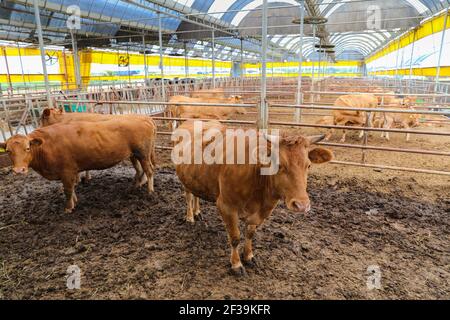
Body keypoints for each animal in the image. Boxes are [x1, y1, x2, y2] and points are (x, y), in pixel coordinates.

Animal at [1, 117, 156, 212]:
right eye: (8, 151)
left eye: (27, 148)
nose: (19, 170)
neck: (47, 145)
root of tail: (144, 118)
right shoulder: (69, 172)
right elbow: (72, 189)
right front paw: (74, 202)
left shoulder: (67, 171)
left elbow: (68, 190)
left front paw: (69, 208)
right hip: (134, 154)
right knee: (140, 170)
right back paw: (135, 186)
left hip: (143, 153)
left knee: (149, 170)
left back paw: (150, 191)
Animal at [173, 120, 334, 276]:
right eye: (279, 165)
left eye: (309, 165)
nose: (301, 205)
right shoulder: (226, 206)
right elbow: (235, 237)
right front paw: (236, 265)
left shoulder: (262, 211)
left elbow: (250, 233)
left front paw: (249, 256)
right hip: (184, 179)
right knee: (188, 196)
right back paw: (190, 217)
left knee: (196, 195)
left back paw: (197, 212)